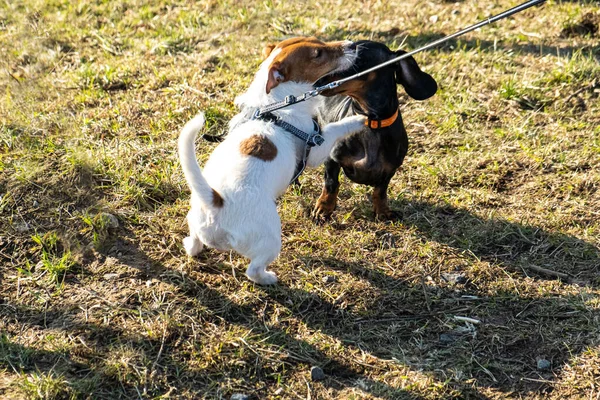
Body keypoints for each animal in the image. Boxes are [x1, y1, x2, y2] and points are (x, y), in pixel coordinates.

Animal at [178, 36, 366, 282]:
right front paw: (359, 119)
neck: (274, 105)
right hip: (270, 240)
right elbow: (336, 128)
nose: (352, 44)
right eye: (318, 54)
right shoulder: (316, 145)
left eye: (319, 41)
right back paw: (268, 278)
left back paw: (190, 244)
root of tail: (216, 201)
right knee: (253, 270)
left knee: (194, 244)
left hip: (194, 223)